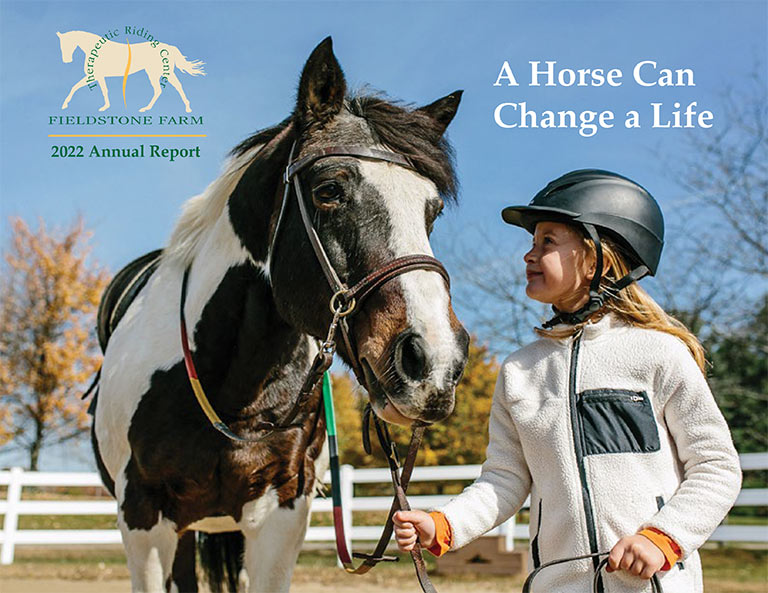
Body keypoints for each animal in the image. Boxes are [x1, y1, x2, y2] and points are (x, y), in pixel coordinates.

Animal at [56, 30, 204, 112]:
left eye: (66, 44)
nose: (66, 60)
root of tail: (168, 47)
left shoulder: (97, 75)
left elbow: (101, 90)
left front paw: (104, 107)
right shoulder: (95, 76)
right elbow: (77, 87)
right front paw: (65, 105)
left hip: (155, 73)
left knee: (160, 89)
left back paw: (146, 108)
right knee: (176, 86)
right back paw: (187, 108)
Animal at [93, 38, 472, 592]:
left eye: (432, 211)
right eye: (328, 190)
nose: (436, 363)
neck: (231, 388)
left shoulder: (281, 515)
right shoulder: (142, 519)